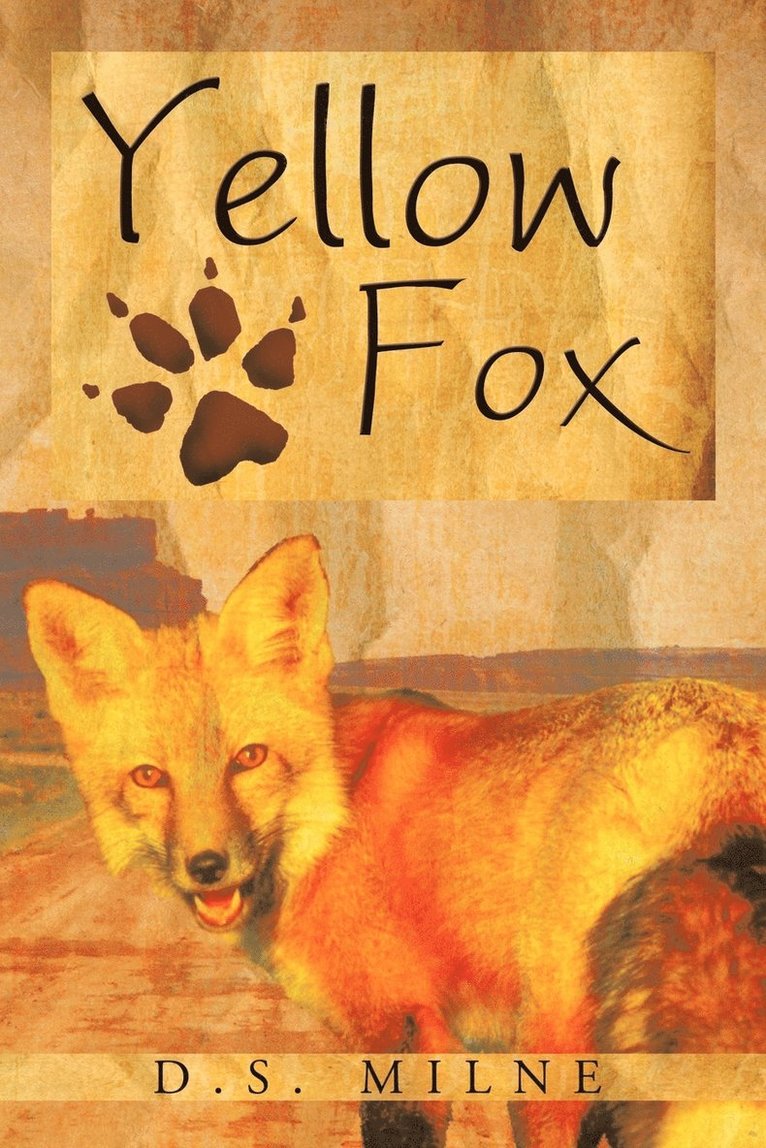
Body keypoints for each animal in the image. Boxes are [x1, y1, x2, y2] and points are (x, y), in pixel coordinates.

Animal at [23, 534, 766, 1148]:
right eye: (150, 777)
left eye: (250, 759)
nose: (207, 867)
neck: (331, 813)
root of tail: (725, 748)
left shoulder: (404, 1032)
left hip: (555, 1064)